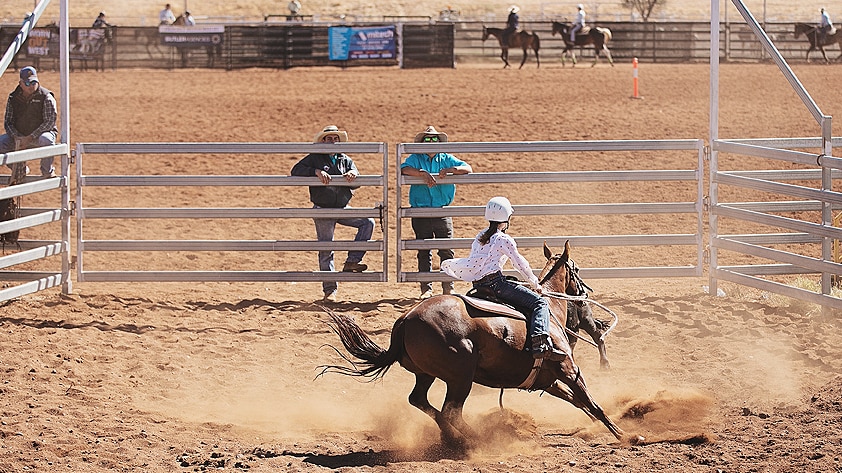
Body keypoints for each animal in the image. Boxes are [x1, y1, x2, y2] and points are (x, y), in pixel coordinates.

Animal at [318, 240, 628, 446]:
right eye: (576, 269)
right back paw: (477, 439)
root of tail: (406, 319)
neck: (550, 309)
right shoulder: (567, 368)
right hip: (460, 377)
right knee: (451, 412)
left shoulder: (547, 380)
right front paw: (625, 434)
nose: (584, 295)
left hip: (427, 374)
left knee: (420, 401)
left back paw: (451, 438)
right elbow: (590, 401)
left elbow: (579, 402)